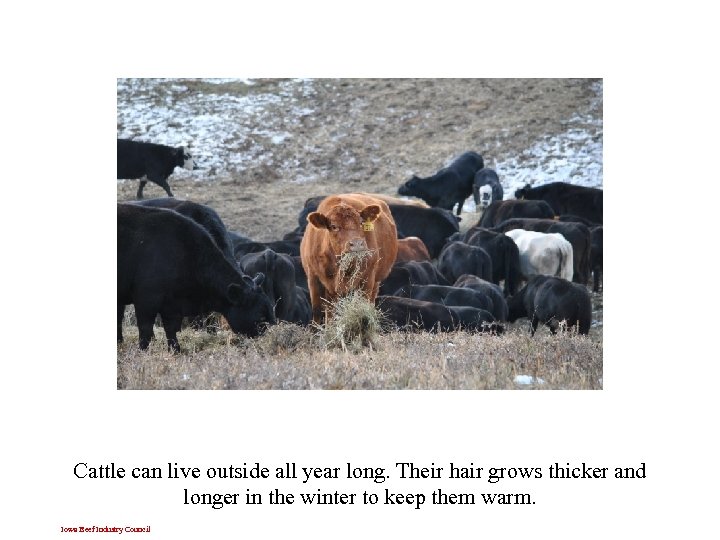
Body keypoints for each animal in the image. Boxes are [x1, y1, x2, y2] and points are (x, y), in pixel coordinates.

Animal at [117, 204, 276, 352]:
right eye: (261, 317)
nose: (272, 334)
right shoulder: (146, 300)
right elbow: (146, 330)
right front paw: (143, 351)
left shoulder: (171, 305)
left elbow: (170, 330)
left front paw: (176, 350)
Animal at [300, 193, 398, 324]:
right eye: (334, 226)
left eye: (361, 223)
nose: (356, 243)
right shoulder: (313, 277)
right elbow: (318, 311)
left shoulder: (368, 278)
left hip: (375, 281)